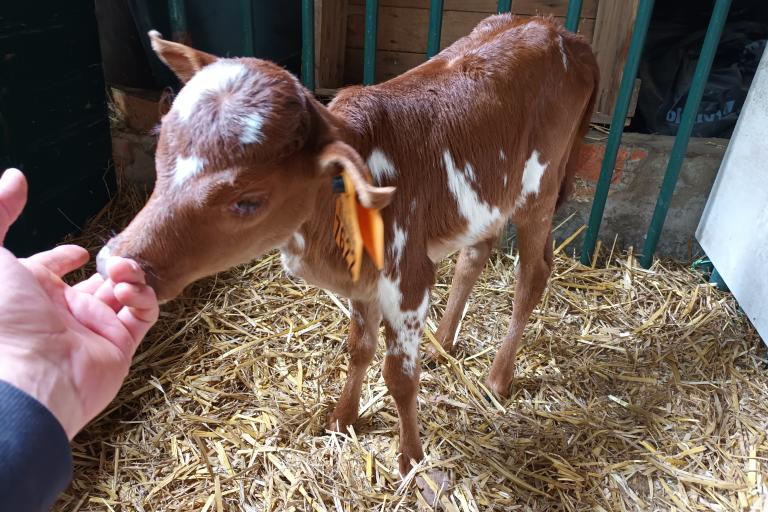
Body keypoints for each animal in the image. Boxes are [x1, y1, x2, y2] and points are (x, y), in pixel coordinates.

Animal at [97, 14, 600, 488]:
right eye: (161, 140)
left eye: (248, 200)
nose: (116, 262)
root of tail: (561, 32)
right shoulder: (363, 281)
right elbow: (358, 348)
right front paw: (341, 419)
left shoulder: (408, 278)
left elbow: (399, 377)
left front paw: (411, 459)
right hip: (492, 193)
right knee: (478, 251)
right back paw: (443, 343)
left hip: (540, 188)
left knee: (533, 273)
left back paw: (497, 378)